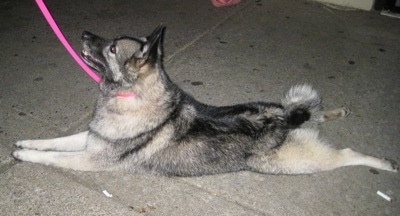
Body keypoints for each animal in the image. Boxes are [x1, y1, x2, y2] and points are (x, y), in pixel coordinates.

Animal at [12, 24, 396, 176]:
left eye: (111, 48)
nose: (83, 35)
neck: (130, 95)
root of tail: (283, 119)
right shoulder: (92, 138)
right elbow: (56, 141)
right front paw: (27, 142)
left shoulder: (93, 158)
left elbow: (56, 156)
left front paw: (26, 155)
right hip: (288, 114)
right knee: (311, 110)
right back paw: (335, 111)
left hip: (291, 161)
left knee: (345, 154)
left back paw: (383, 163)